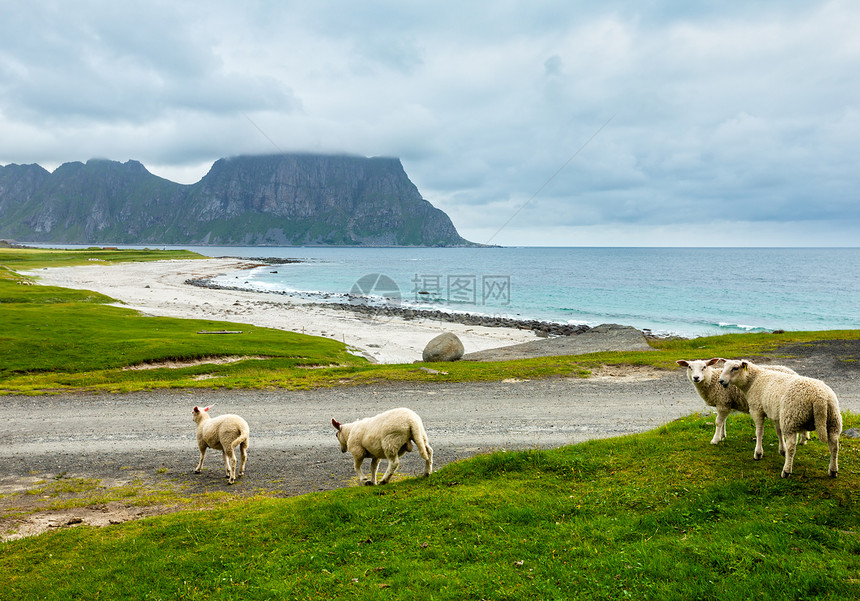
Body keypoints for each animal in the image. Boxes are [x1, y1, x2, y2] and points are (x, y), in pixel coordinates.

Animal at [676, 356, 804, 446]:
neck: (712, 380)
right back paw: (804, 439)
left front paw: (715, 439)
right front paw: (722, 436)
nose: (696, 378)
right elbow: (723, 421)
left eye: (704, 367)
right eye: (689, 367)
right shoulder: (725, 403)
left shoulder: (723, 402)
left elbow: (718, 422)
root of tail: (794, 373)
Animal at [716, 358, 844, 476]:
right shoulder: (776, 414)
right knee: (834, 446)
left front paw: (758, 453)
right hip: (833, 420)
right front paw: (782, 450)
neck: (754, 381)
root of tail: (819, 397)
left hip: (791, 419)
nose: (721, 381)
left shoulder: (757, 410)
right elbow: (778, 432)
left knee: (792, 446)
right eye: (724, 366)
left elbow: (759, 432)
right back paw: (833, 470)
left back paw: (786, 471)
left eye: (735, 368)